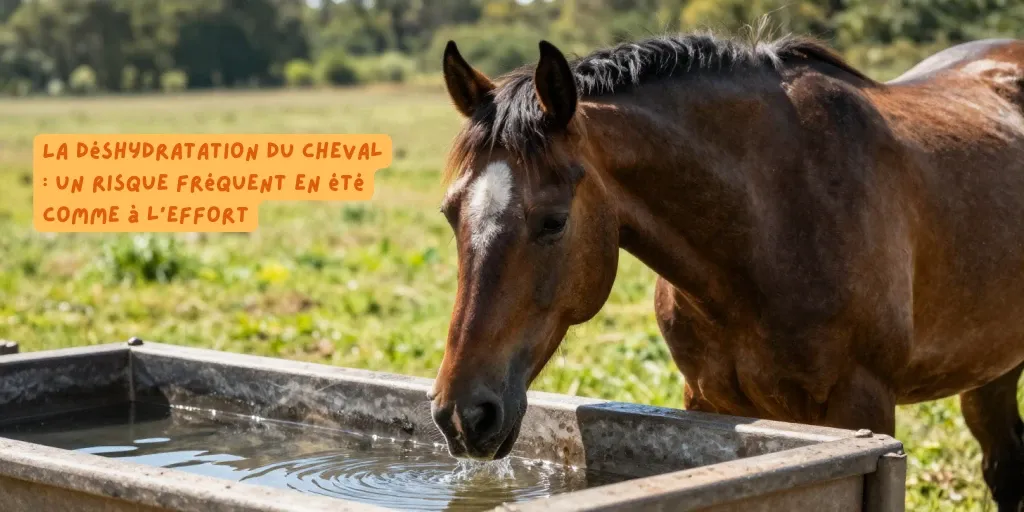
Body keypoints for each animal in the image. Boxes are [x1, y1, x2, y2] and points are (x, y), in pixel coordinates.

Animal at [427, 29, 1024, 510]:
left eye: (553, 221)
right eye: (451, 213)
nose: (462, 415)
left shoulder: (865, 404)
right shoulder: (706, 400)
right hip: (992, 372)